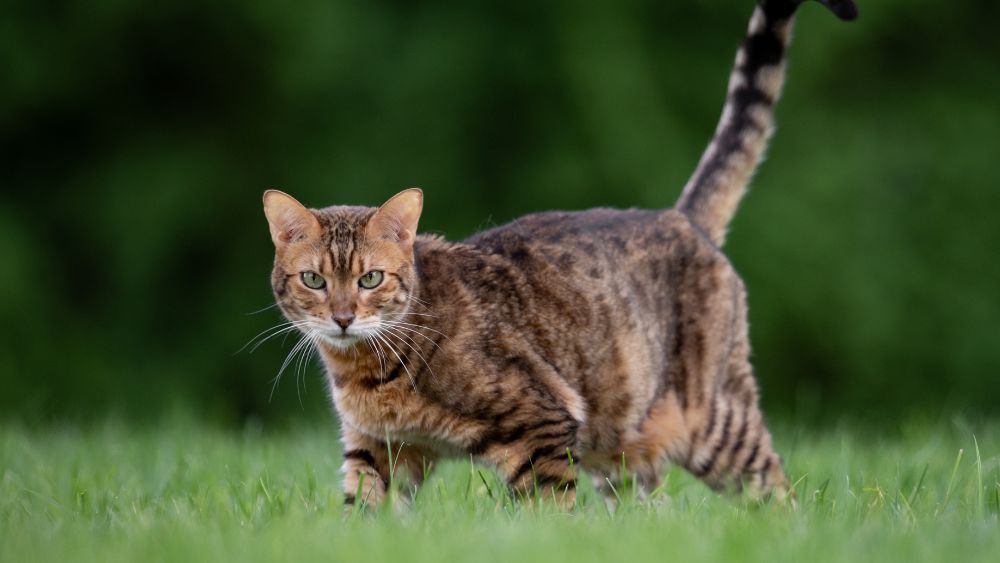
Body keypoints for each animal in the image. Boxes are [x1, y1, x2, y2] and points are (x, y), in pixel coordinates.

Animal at [262, 0, 856, 508]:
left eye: (370, 279)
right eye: (314, 280)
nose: (342, 318)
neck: (367, 372)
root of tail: (680, 216)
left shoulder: (542, 425)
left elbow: (547, 513)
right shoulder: (377, 449)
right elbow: (364, 513)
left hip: (715, 421)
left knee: (778, 491)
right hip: (623, 447)